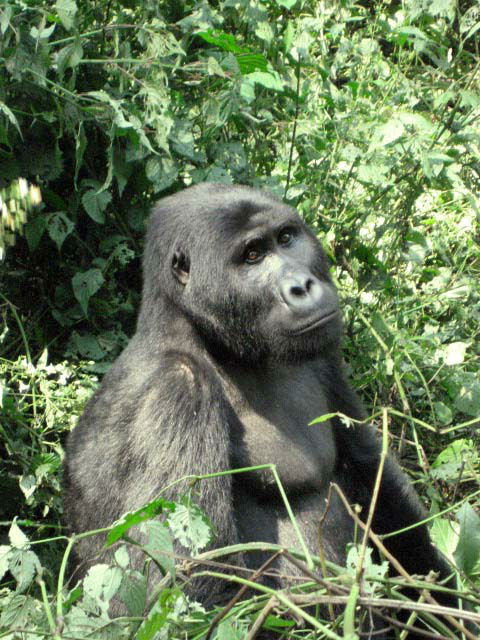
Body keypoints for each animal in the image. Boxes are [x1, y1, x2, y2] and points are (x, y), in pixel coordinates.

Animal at [63, 182, 468, 636]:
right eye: (252, 255)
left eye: (286, 238)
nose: (302, 286)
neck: (212, 340)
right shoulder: (176, 390)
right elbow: (191, 592)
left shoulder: (323, 356)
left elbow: (376, 483)